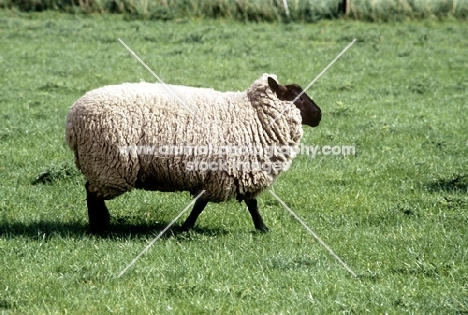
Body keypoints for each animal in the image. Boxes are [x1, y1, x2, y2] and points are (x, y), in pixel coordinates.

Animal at [66, 73, 320, 233]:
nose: (319, 114)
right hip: (108, 164)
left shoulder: (227, 173)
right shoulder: (232, 170)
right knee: (93, 194)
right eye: (296, 95)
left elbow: (227, 203)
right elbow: (243, 203)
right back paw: (100, 227)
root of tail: (72, 120)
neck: (254, 116)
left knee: (91, 191)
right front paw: (262, 228)